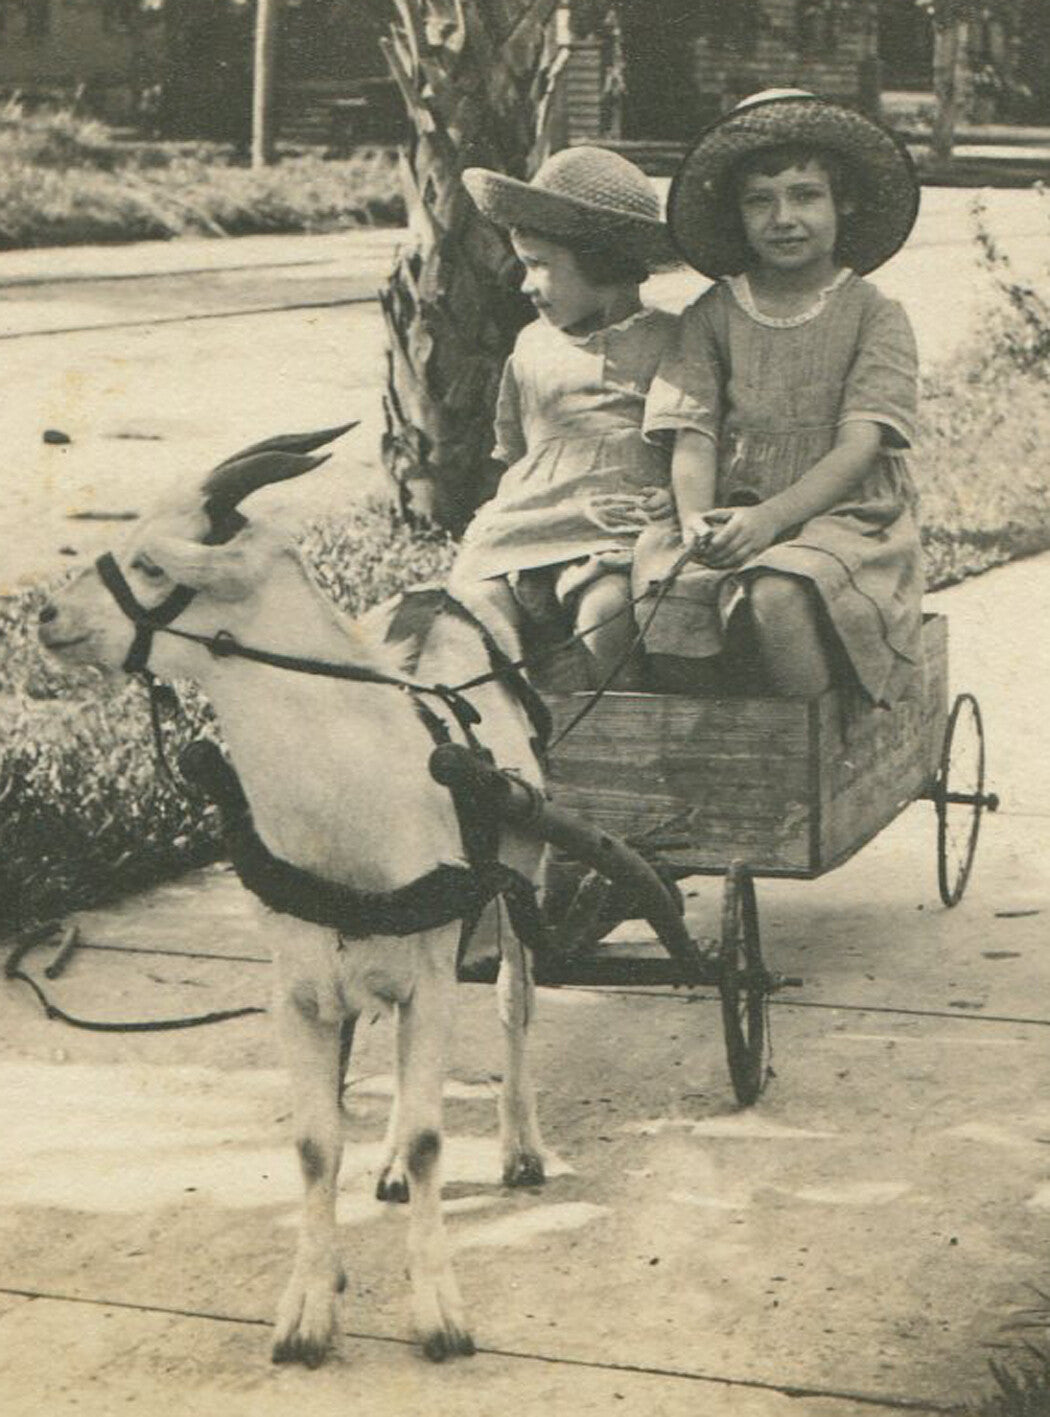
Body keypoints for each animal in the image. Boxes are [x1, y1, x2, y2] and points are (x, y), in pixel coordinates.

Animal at [37, 427, 548, 1366]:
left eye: (152, 564)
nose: (46, 618)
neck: (350, 799)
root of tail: (446, 597)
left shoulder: (429, 971)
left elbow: (433, 1135)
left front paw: (439, 1311)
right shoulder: (298, 988)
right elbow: (315, 1144)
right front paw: (310, 1305)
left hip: (521, 882)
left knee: (513, 1003)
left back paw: (520, 1146)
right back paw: (386, 1164)